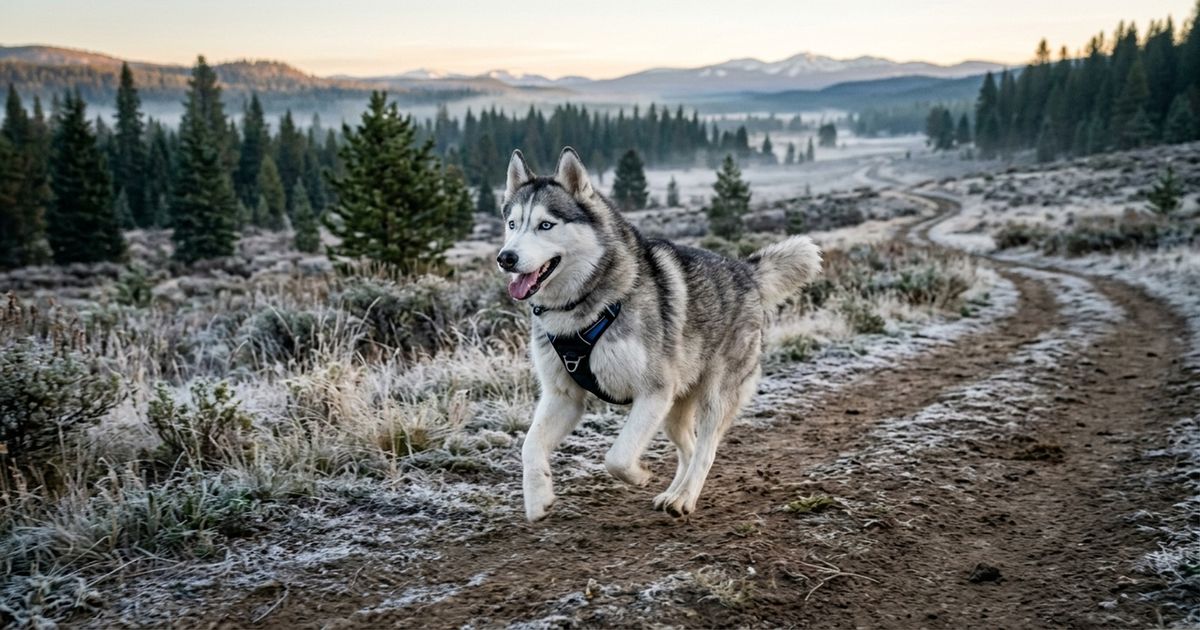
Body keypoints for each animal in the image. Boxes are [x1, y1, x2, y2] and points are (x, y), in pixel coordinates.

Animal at [498, 147, 821, 521]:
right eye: (512, 224)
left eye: (546, 225)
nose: (506, 258)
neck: (583, 311)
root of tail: (744, 269)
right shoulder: (564, 396)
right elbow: (530, 446)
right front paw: (539, 499)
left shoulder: (653, 392)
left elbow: (618, 457)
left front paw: (639, 475)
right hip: (674, 411)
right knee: (690, 448)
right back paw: (673, 493)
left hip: (713, 397)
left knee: (706, 450)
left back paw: (684, 499)